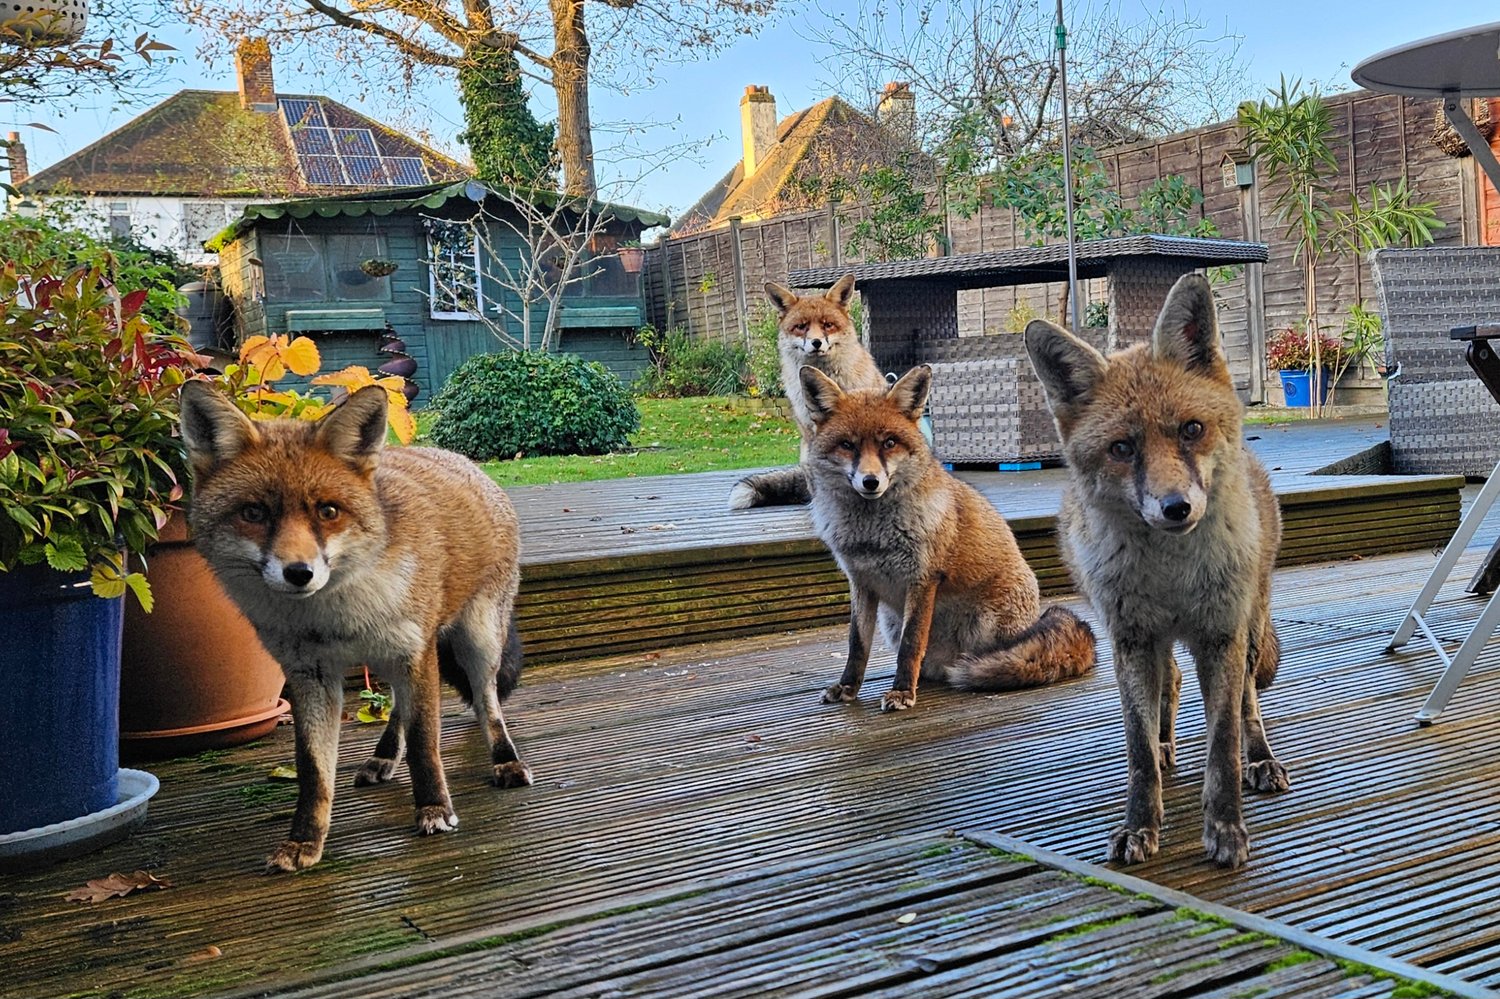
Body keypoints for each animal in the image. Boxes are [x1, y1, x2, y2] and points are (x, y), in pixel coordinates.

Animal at [177, 381, 531, 874]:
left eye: (328, 511)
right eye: (254, 513)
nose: (299, 573)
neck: (335, 615)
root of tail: (459, 458)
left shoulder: (414, 651)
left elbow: (425, 743)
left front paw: (434, 810)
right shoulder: (310, 675)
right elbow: (313, 771)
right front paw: (304, 842)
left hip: (477, 640)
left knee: (487, 701)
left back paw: (504, 760)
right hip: (395, 660)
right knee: (400, 708)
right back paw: (383, 755)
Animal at [798, 364, 1097, 712]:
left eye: (889, 443)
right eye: (847, 445)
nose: (870, 482)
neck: (872, 536)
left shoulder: (923, 578)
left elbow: (911, 644)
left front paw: (902, 691)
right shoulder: (861, 582)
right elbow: (857, 645)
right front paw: (848, 687)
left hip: (988, 621)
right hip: (891, 620)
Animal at [1024, 273, 1289, 870]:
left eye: (1191, 429)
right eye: (1123, 448)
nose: (1175, 508)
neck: (1172, 576)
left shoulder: (1219, 636)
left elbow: (1222, 745)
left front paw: (1226, 828)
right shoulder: (1132, 639)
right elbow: (1139, 752)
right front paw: (1140, 825)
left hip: (1247, 629)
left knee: (1248, 703)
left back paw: (1261, 758)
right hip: (1157, 644)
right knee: (1170, 685)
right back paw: (1169, 747)